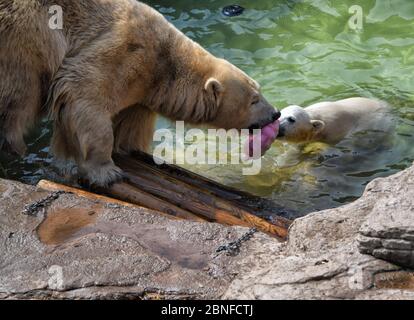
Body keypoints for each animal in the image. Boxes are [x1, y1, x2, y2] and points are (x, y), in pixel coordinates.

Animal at [0, 0, 280, 186]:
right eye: (254, 99)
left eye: (259, 90)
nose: (275, 113)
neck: (165, 64)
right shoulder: (127, 51)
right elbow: (84, 93)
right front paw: (106, 172)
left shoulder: (144, 90)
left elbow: (131, 124)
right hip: (28, 33)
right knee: (21, 90)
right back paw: (15, 144)